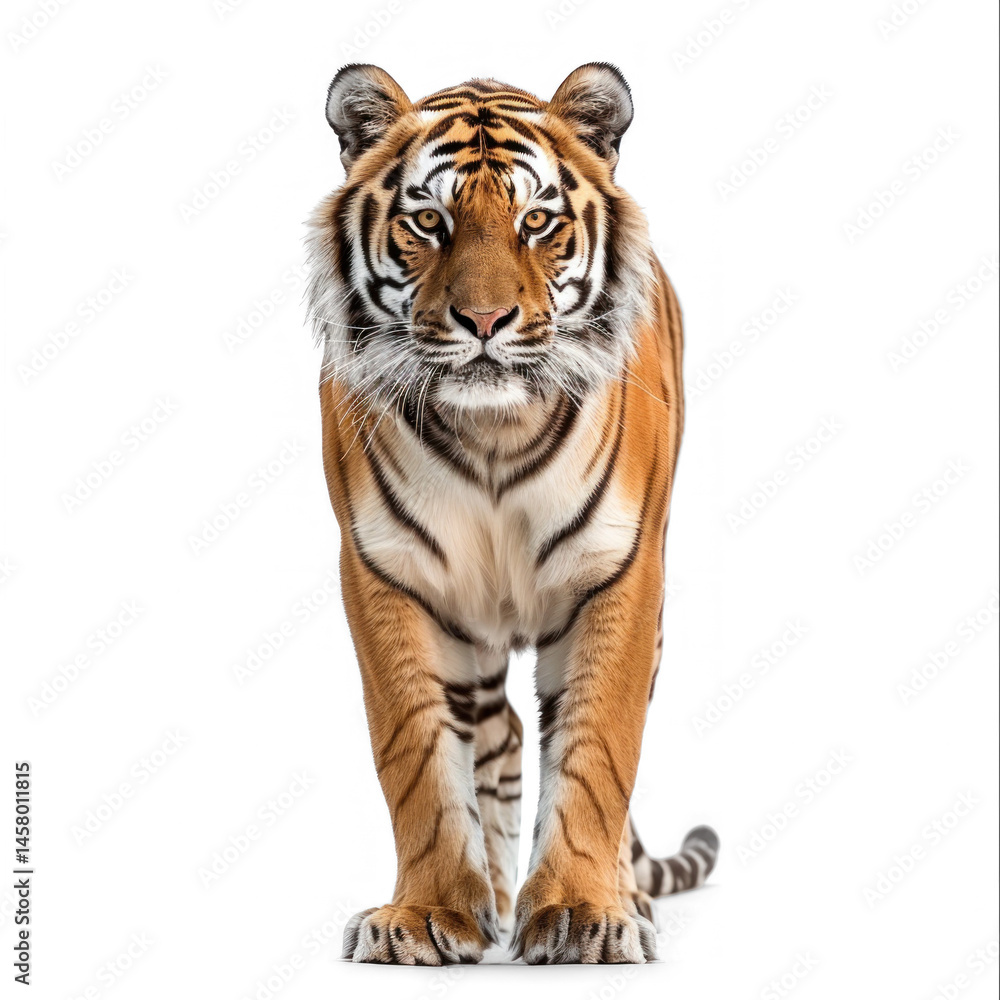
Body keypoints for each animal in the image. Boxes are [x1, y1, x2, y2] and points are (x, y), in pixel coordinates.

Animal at [307, 62, 719, 966]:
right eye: (430, 220)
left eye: (537, 223)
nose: (486, 321)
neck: (493, 432)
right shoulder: (386, 575)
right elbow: (419, 762)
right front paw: (427, 913)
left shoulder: (619, 575)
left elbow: (598, 752)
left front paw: (584, 912)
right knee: (497, 741)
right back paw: (491, 896)